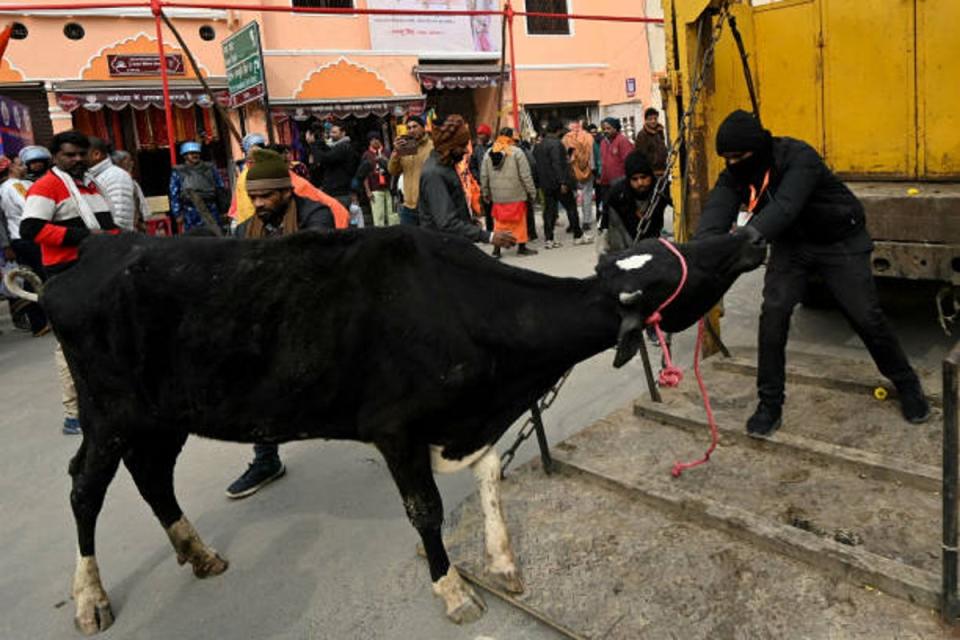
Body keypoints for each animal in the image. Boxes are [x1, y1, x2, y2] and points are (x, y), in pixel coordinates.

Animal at [5, 226, 756, 636]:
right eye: (679, 269)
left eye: (668, 250)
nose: (748, 236)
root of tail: (83, 259)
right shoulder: (395, 427)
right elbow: (424, 509)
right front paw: (452, 589)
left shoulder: (467, 418)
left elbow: (490, 474)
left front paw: (503, 561)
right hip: (108, 412)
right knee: (84, 489)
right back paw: (91, 598)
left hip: (163, 414)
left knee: (152, 475)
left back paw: (199, 553)